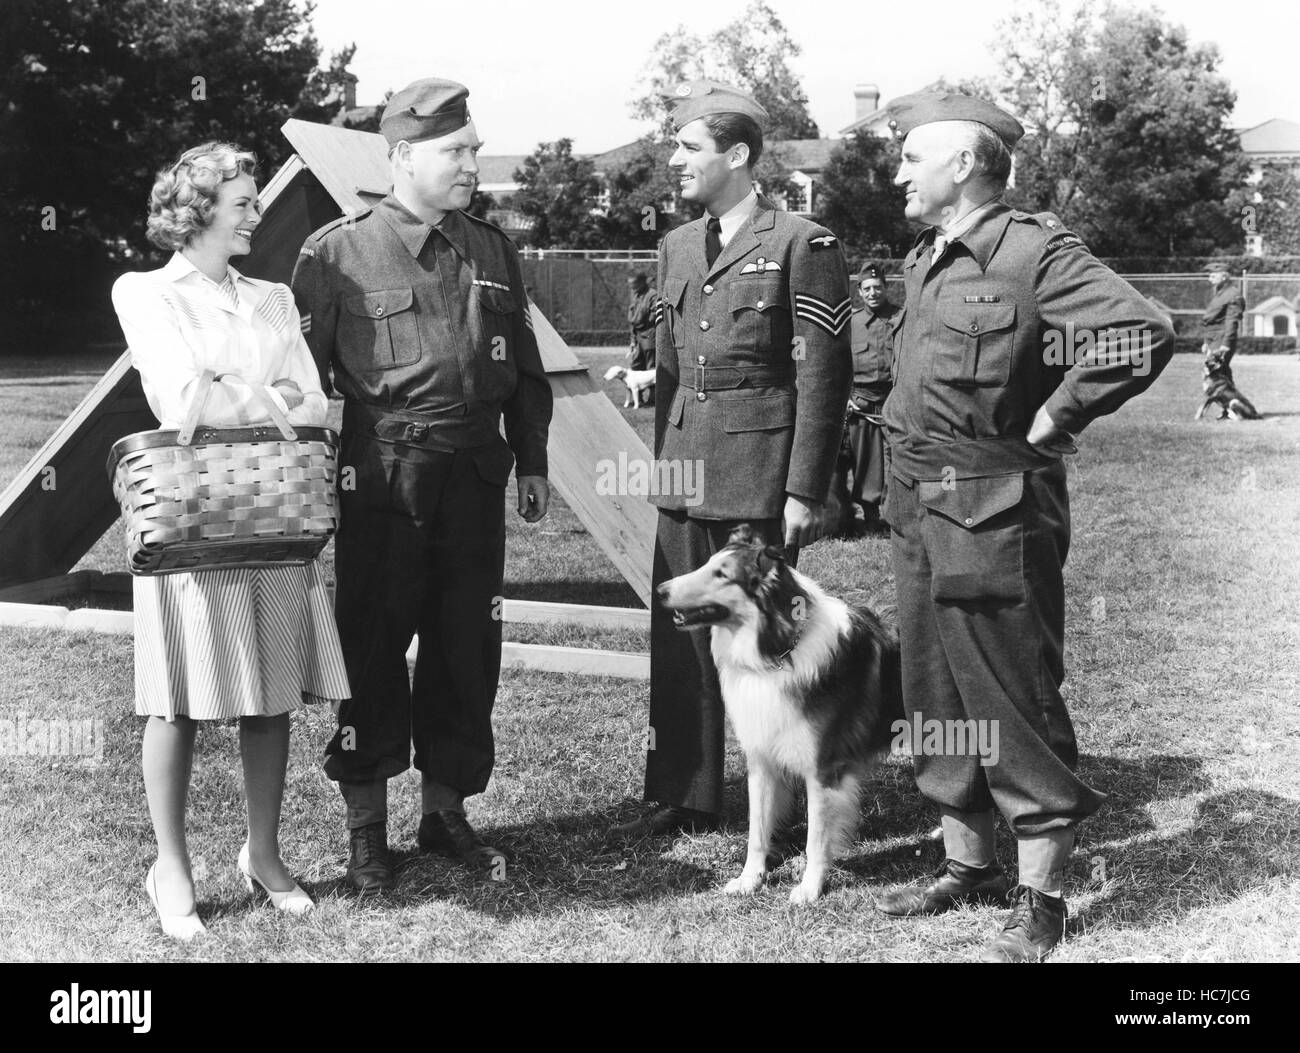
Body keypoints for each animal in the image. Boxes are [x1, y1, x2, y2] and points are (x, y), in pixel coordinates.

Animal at [660, 520, 904, 899]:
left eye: (722, 574)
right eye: (706, 565)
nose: (660, 590)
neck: (778, 651)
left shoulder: (823, 768)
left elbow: (816, 838)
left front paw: (810, 889)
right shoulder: (762, 758)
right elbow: (757, 830)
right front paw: (750, 880)